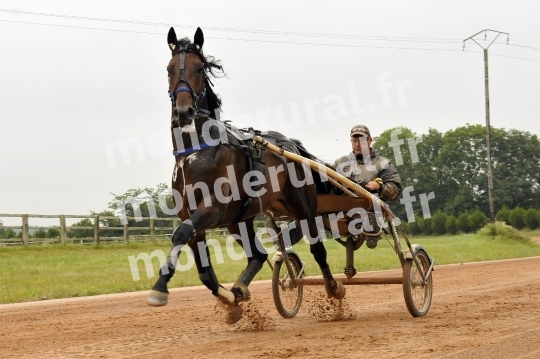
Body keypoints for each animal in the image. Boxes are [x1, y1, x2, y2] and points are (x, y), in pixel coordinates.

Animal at [146, 26, 344, 324]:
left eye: (199, 68)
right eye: (169, 69)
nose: (183, 112)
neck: (196, 152)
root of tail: (289, 144)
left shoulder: (213, 209)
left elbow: (180, 234)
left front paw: (159, 288)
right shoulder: (192, 214)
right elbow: (203, 268)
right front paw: (230, 301)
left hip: (303, 207)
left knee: (317, 249)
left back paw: (333, 290)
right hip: (239, 221)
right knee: (258, 255)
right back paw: (239, 288)